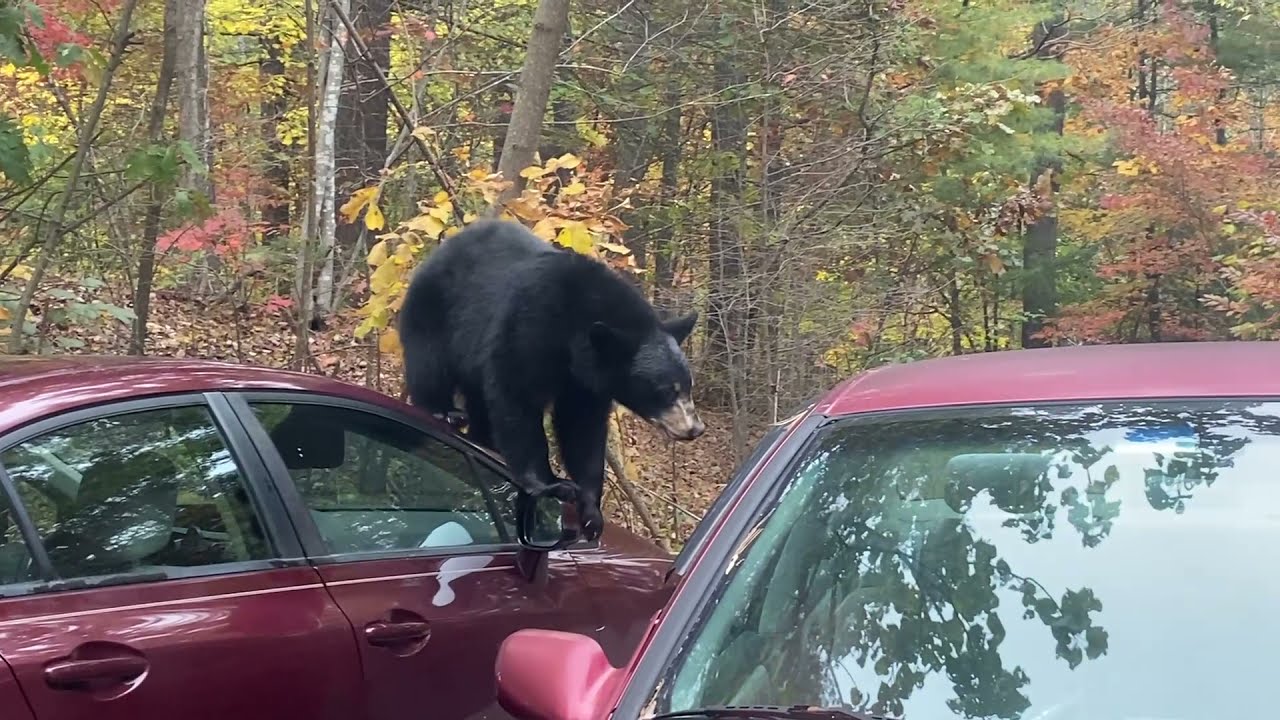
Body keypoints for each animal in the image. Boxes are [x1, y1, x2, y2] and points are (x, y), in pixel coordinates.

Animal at [397, 218, 705, 541]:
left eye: (688, 385)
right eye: (666, 391)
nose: (695, 429)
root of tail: (442, 249)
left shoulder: (585, 383)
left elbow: (582, 428)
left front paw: (590, 511)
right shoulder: (528, 328)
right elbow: (516, 400)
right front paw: (550, 483)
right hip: (436, 311)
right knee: (430, 363)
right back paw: (444, 411)